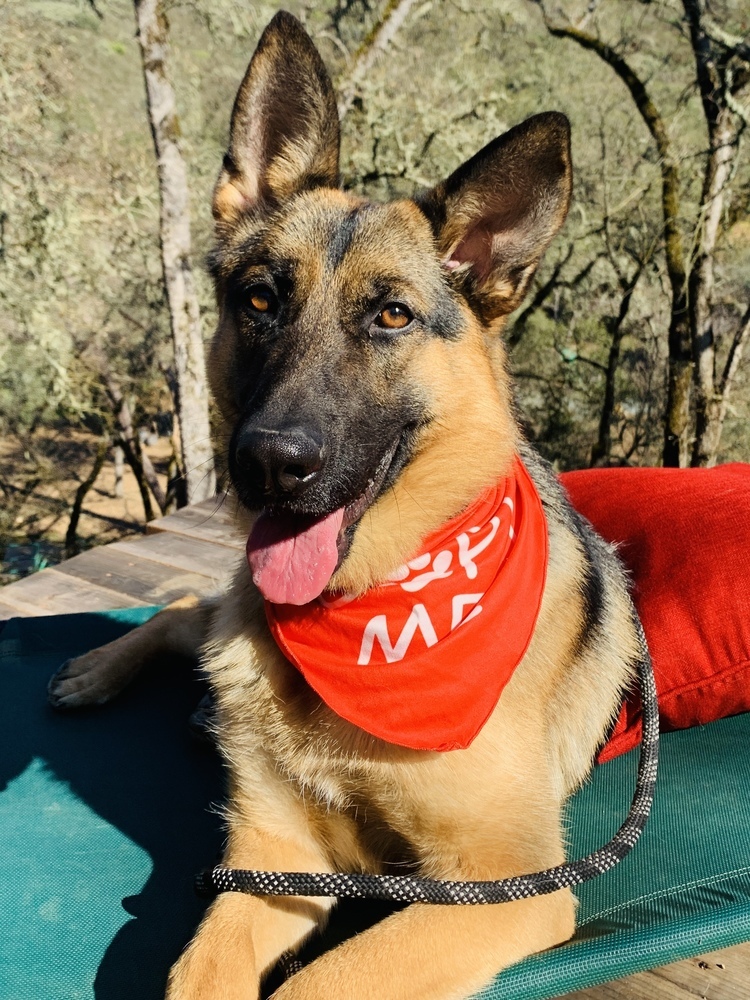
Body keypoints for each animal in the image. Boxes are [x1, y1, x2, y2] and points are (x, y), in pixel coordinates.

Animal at [48, 11, 648, 996]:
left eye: (392, 316)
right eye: (259, 300)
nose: (269, 464)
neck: (380, 608)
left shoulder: (503, 886)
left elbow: (323, 980)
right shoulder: (273, 859)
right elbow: (199, 978)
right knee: (188, 609)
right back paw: (99, 668)